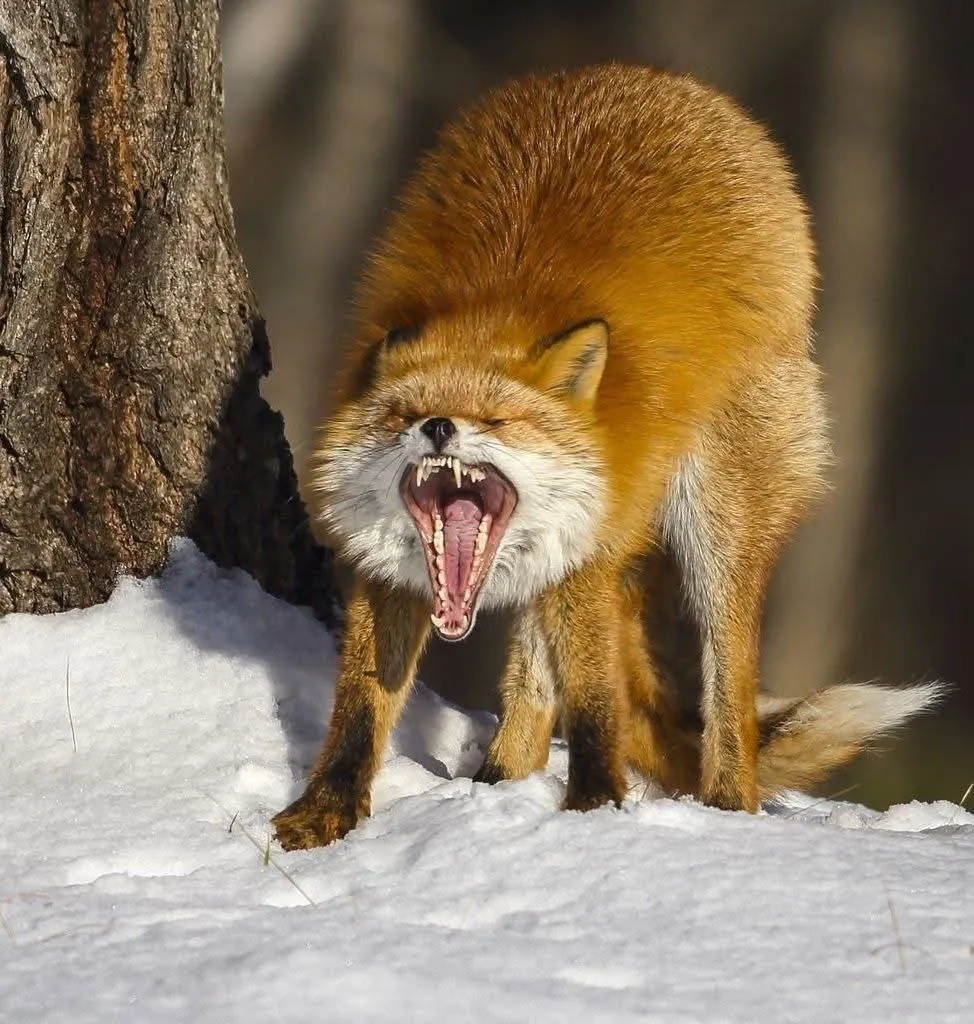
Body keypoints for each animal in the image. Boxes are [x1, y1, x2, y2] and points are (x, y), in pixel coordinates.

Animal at [273, 64, 940, 850]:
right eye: (400, 416)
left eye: (498, 419)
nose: (437, 427)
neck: (488, 306)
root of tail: (662, 80)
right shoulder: (393, 569)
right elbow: (360, 706)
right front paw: (324, 814)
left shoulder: (596, 539)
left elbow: (595, 701)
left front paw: (595, 811)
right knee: (532, 692)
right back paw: (499, 784)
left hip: (720, 520)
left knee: (729, 706)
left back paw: (723, 811)